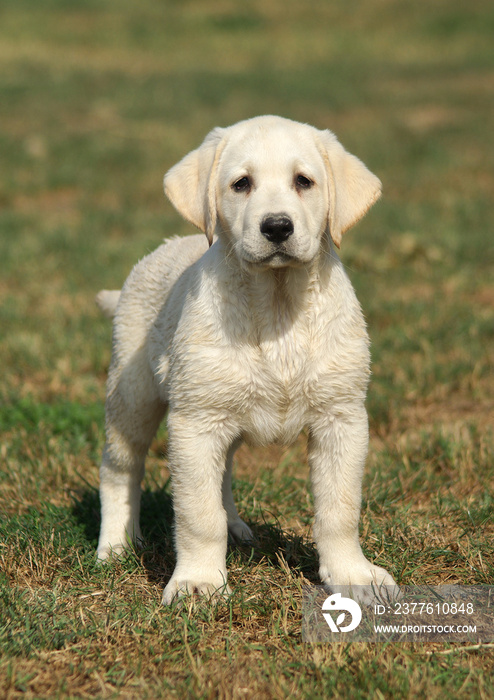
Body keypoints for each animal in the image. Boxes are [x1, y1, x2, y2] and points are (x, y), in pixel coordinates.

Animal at [95, 116, 398, 608]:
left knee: (223, 473)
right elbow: (197, 515)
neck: (276, 305)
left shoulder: (342, 417)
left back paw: (235, 526)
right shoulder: (195, 423)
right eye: (241, 184)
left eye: (303, 181)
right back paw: (116, 545)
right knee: (121, 466)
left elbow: (340, 509)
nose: (276, 227)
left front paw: (352, 575)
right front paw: (198, 582)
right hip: (132, 393)